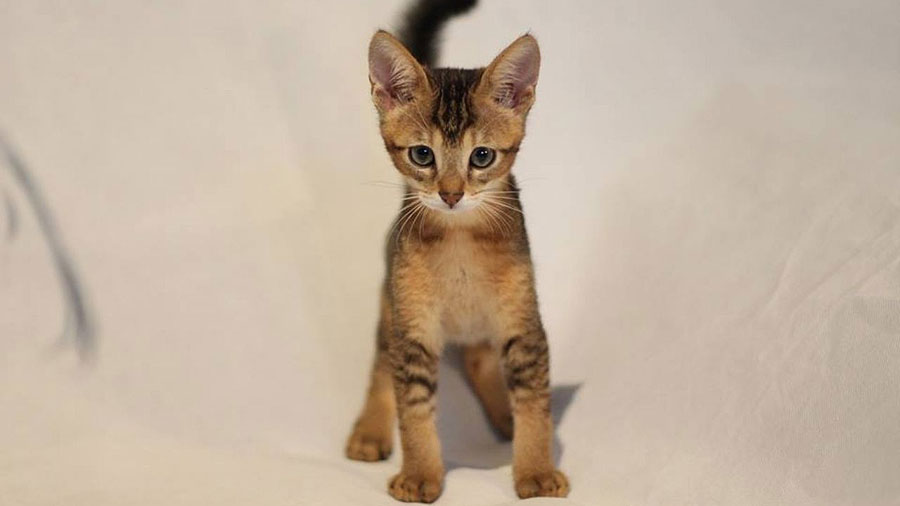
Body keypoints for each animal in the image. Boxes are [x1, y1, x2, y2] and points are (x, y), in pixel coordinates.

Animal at [346, 0, 568, 502]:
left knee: (478, 357)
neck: (460, 240)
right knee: (380, 363)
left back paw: (502, 413)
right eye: (422, 155)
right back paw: (370, 430)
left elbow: (535, 403)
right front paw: (419, 474)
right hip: (391, 304)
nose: (450, 194)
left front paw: (536, 471)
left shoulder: (525, 323)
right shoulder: (413, 329)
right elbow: (413, 412)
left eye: (481, 156)